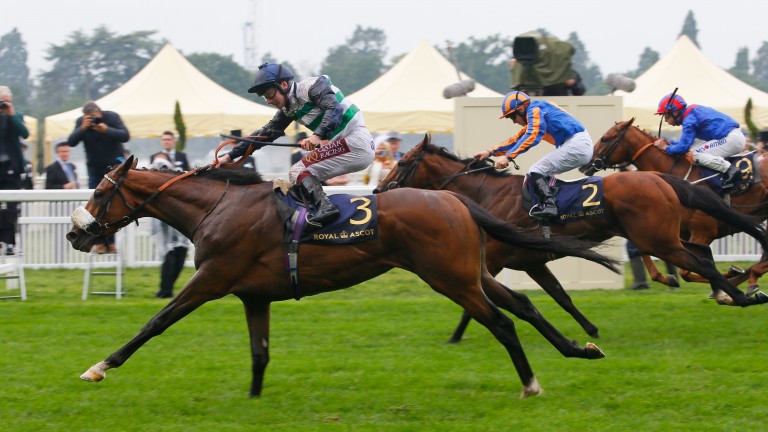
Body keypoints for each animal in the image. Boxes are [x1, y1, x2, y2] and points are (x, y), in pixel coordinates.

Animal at [63, 156, 620, 398]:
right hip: (472, 271)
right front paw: (253, 399)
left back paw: (531, 383)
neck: (217, 208)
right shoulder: (253, 296)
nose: (73, 233)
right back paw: (581, 348)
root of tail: (454, 198)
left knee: (502, 323)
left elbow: (154, 324)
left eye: (101, 192)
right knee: (522, 305)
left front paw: (98, 367)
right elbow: (259, 352)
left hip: (450, 278)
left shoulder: (212, 280)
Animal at [584, 120, 768, 292]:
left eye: (605, 138)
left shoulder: (702, 232)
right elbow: (651, 260)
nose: (587, 164)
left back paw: (752, 277)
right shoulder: (662, 233)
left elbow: (687, 271)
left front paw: (730, 279)